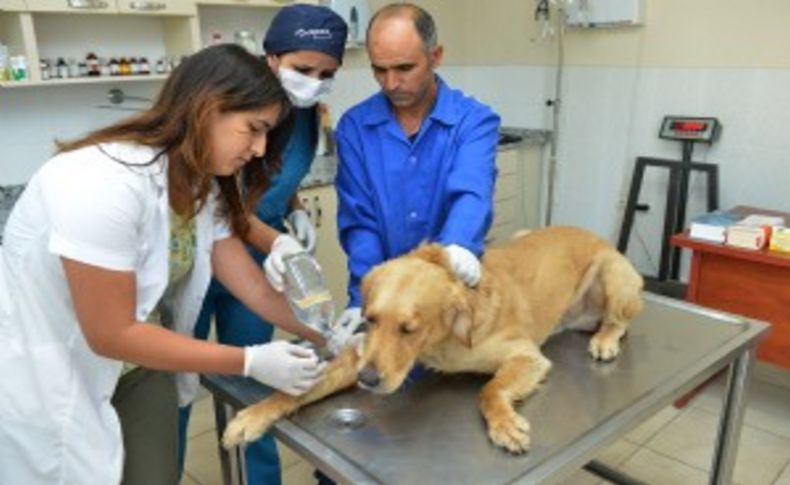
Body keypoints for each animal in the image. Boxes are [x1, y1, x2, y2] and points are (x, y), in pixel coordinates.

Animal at [221, 225, 644, 452]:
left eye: (409, 328)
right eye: (371, 320)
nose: (367, 380)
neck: (441, 342)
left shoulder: (528, 357)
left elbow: (490, 389)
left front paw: (504, 423)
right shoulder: (361, 355)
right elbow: (294, 391)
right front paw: (255, 414)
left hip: (613, 274)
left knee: (619, 320)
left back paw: (605, 339)